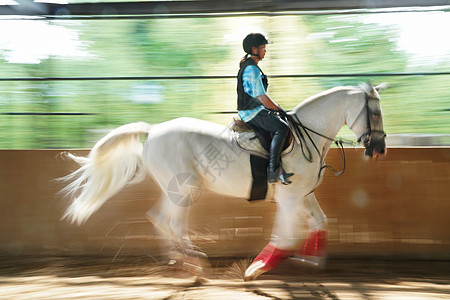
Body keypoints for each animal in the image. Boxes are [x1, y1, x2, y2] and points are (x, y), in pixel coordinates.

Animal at [59, 82, 386, 282]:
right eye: (375, 112)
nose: (379, 149)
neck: (308, 136)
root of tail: (153, 130)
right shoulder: (289, 198)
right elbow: (284, 236)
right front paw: (257, 268)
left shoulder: (304, 195)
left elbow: (321, 221)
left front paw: (312, 261)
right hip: (186, 189)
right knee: (170, 221)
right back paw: (193, 260)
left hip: (175, 189)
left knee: (160, 218)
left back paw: (180, 260)